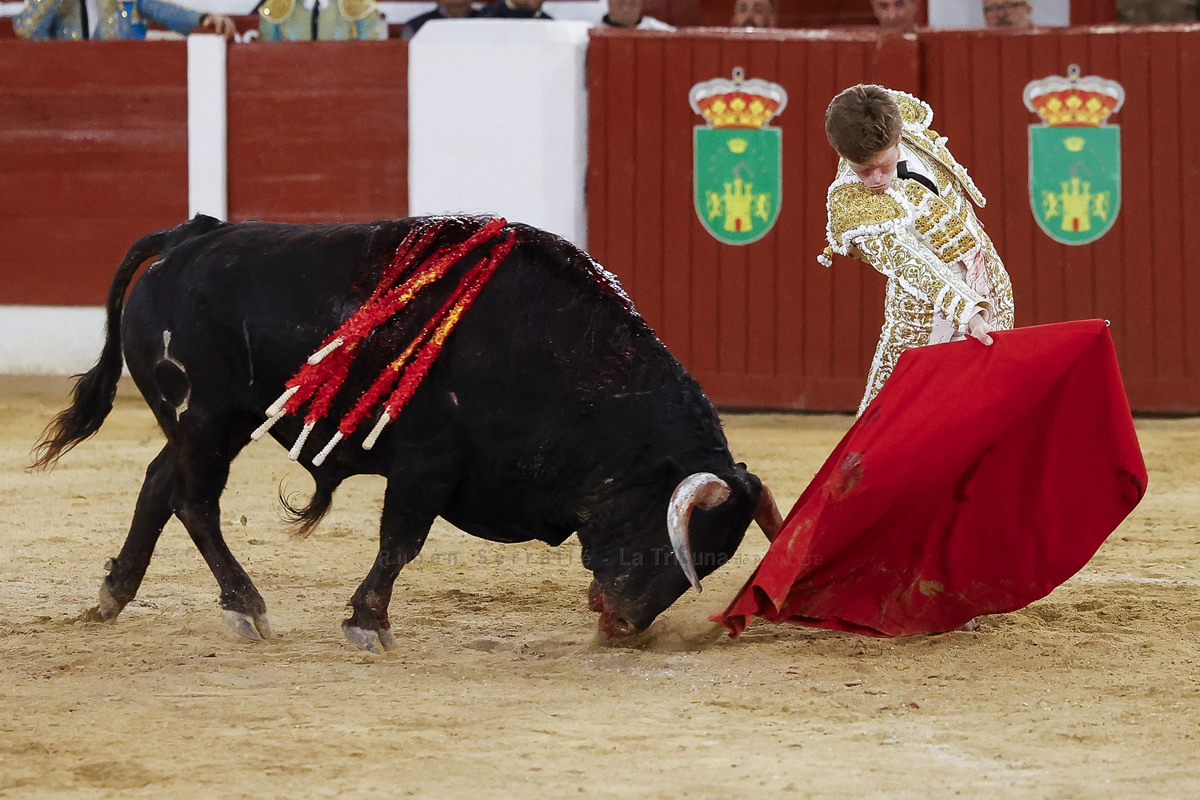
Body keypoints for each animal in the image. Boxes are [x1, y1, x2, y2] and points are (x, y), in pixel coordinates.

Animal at [32, 214, 782, 652]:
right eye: (676, 537)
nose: (624, 625)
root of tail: (190, 236)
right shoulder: (427, 460)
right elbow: (401, 542)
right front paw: (367, 624)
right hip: (207, 419)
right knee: (194, 501)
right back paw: (246, 607)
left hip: (207, 424)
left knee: (160, 483)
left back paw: (113, 595)